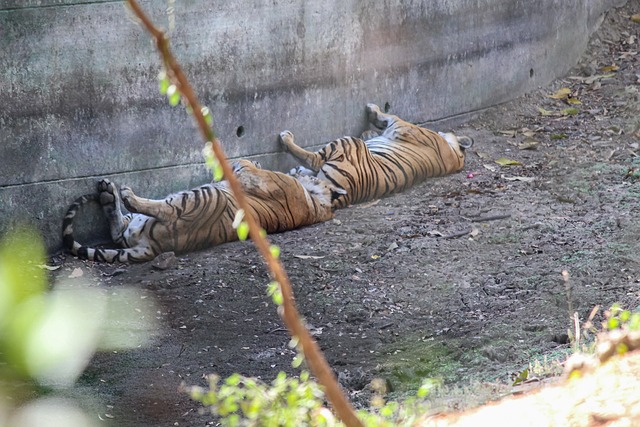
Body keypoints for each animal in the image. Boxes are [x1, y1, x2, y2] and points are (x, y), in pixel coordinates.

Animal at [60, 159, 342, 262]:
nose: (297, 169)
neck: (317, 204)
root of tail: (152, 247)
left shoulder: (253, 175)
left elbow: (246, 165)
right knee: (119, 228)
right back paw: (107, 192)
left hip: (201, 198)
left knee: (166, 209)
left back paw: (126, 194)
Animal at [280, 104, 476, 211]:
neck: (455, 157)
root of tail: (350, 194)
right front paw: (370, 128)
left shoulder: (402, 125)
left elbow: (391, 115)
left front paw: (372, 109)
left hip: (347, 142)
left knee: (313, 160)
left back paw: (286, 138)